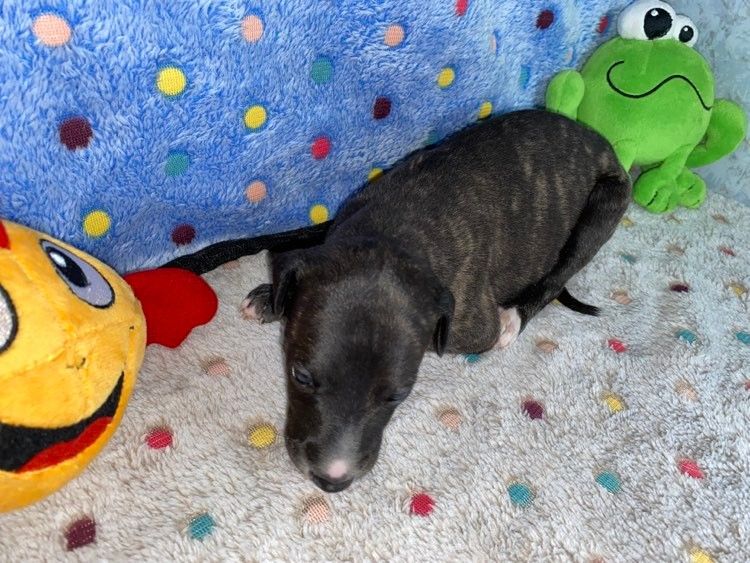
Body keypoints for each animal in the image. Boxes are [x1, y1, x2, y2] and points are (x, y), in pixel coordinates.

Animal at [242, 109, 631, 493]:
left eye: (398, 395)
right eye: (301, 376)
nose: (332, 481)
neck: (396, 231)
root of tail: (600, 142)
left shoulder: (469, 323)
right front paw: (271, 297)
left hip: (603, 208)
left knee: (559, 274)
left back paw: (514, 317)